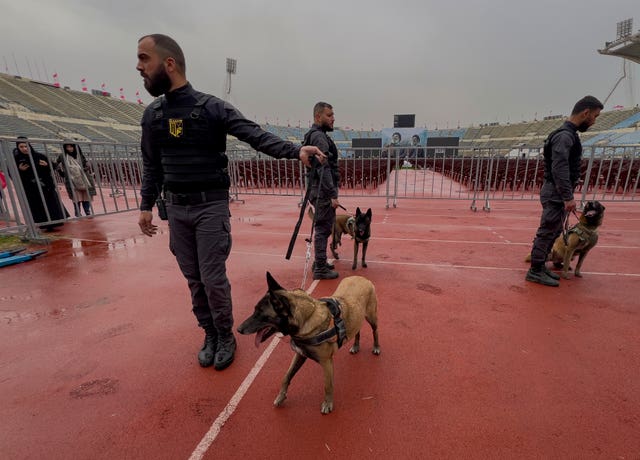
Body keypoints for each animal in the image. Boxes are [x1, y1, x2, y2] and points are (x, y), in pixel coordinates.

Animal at [239, 272, 380, 416]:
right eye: (254, 311)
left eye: (260, 315)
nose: (238, 329)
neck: (306, 320)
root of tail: (361, 277)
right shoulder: (300, 355)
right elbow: (286, 376)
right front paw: (281, 396)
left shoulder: (326, 362)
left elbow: (328, 385)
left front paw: (328, 404)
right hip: (358, 318)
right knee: (357, 331)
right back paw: (356, 346)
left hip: (371, 317)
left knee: (375, 331)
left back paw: (376, 347)